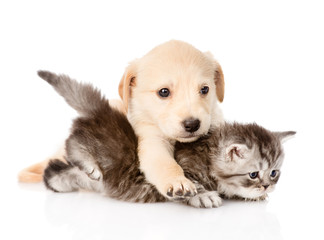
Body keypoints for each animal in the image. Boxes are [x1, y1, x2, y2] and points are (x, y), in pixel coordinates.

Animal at [39, 70, 294, 207]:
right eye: (253, 174)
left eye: (274, 172)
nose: (267, 186)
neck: (209, 154)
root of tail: (102, 111)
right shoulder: (183, 169)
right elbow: (188, 186)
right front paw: (204, 196)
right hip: (101, 148)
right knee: (73, 145)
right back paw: (90, 165)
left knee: (54, 171)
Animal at [119, 40, 225, 199]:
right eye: (164, 92)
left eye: (204, 89)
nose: (192, 124)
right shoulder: (153, 141)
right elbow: (166, 164)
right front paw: (177, 181)